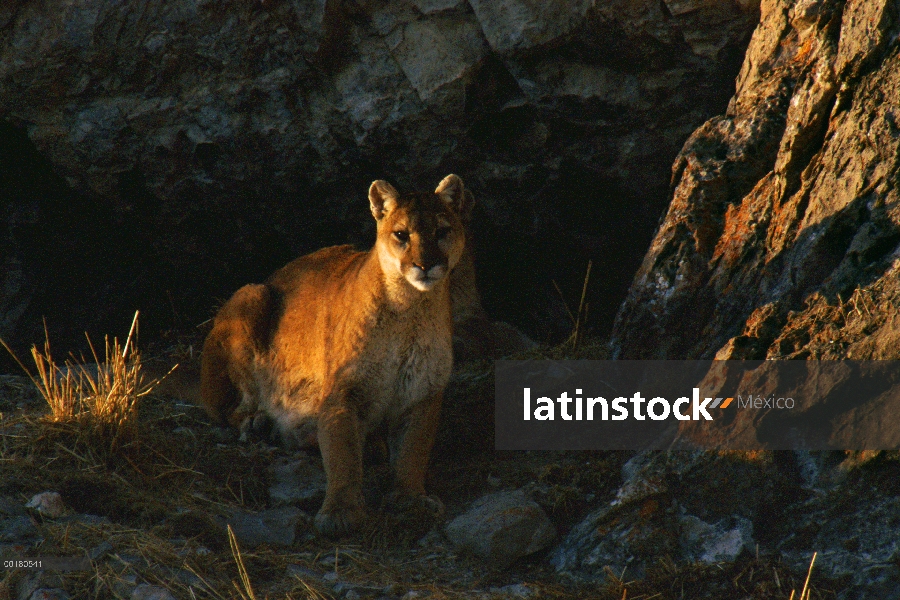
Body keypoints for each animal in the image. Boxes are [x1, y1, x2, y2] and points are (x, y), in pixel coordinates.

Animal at [199, 173, 472, 536]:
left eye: (442, 231)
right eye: (402, 235)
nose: (425, 266)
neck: (410, 308)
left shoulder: (421, 394)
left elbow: (413, 451)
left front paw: (410, 498)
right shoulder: (343, 393)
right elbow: (342, 453)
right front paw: (341, 512)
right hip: (251, 296)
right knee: (229, 407)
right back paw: (259, 422)